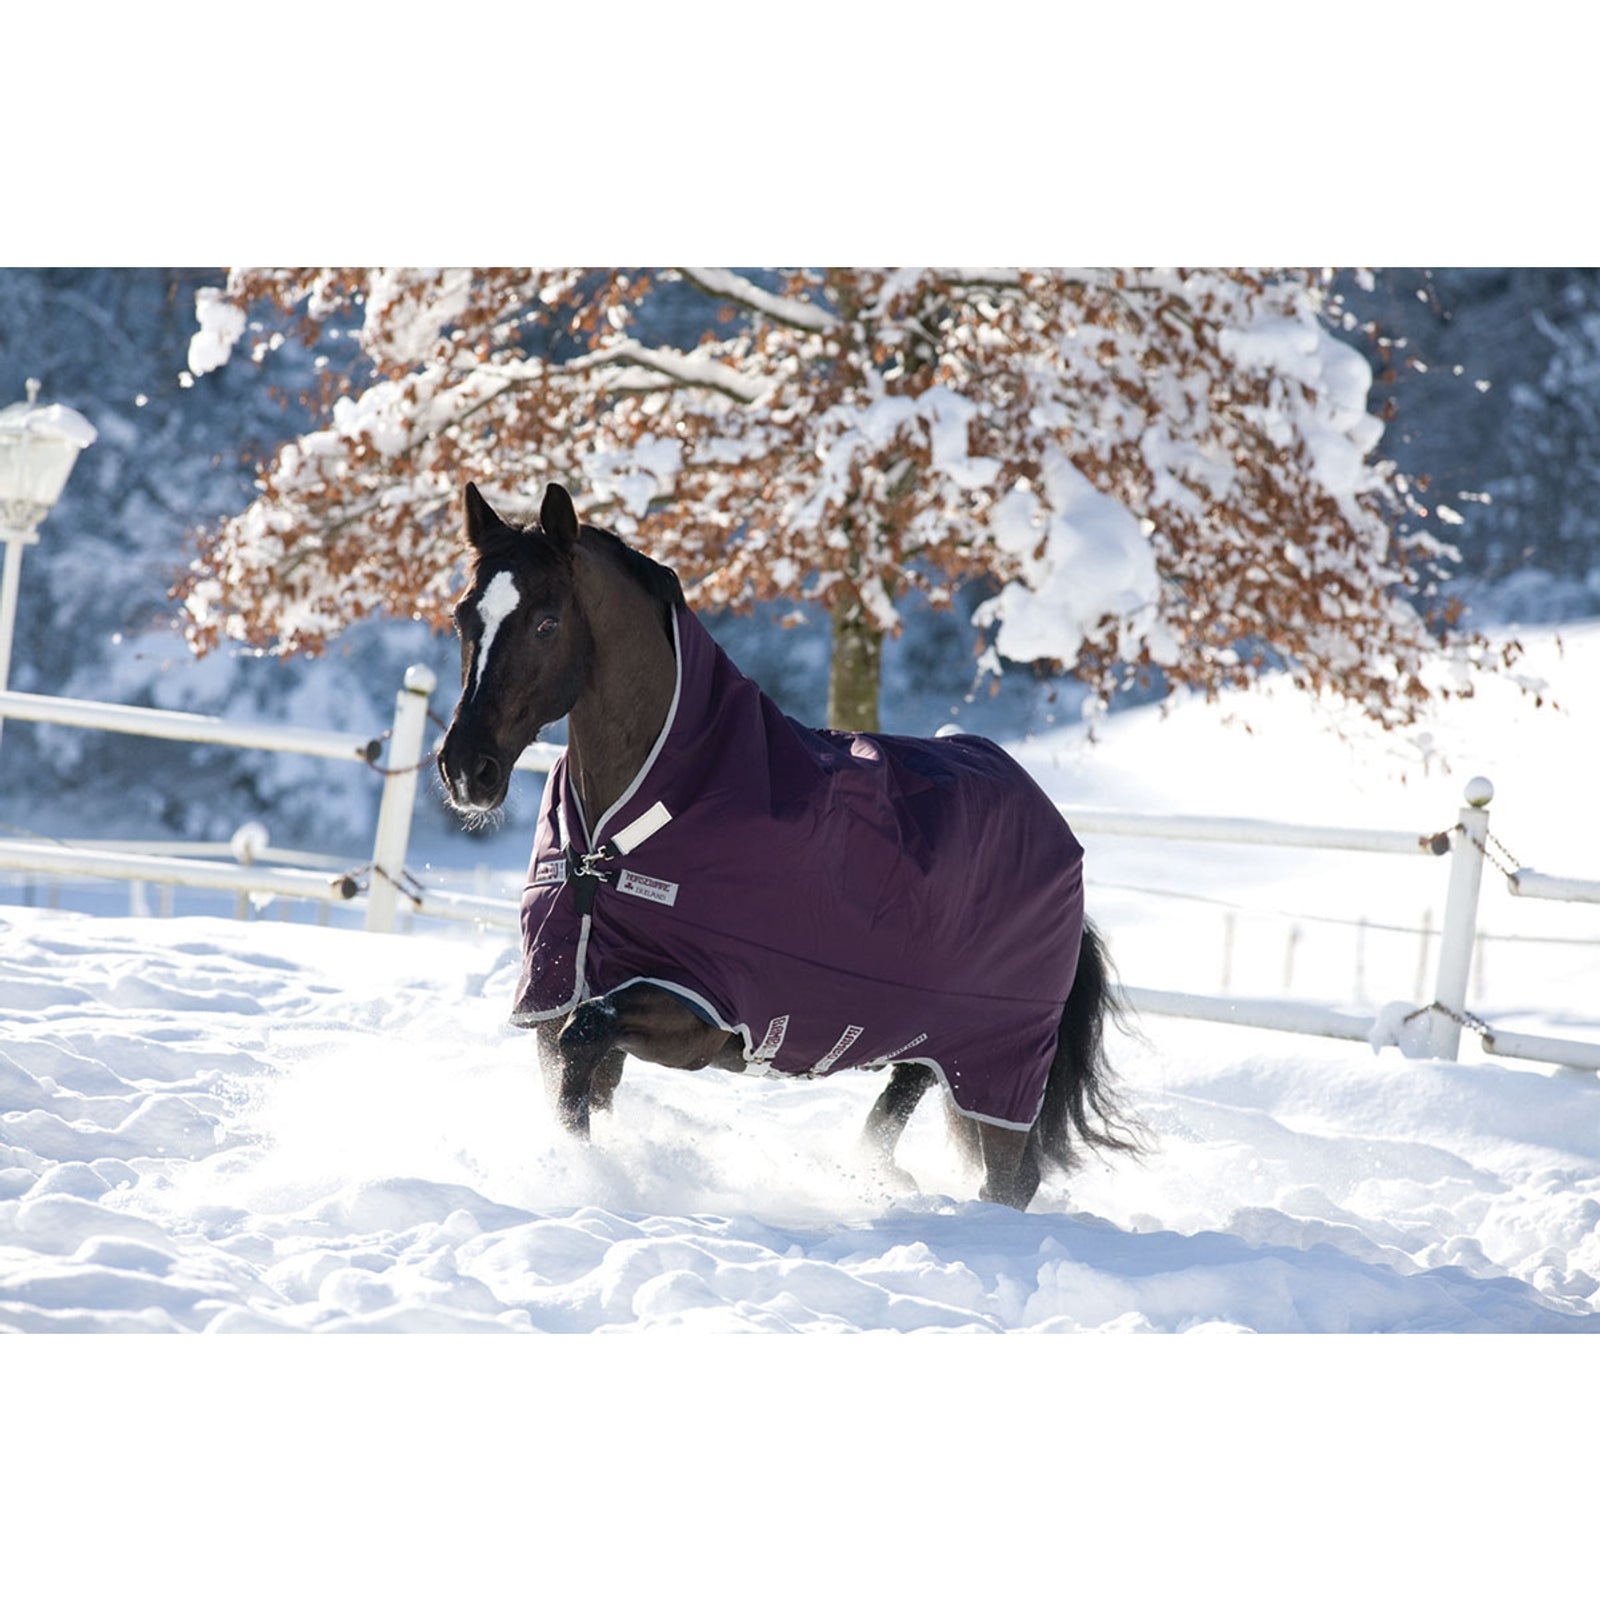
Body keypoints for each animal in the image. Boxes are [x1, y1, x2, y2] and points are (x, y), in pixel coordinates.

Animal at [437, 481, 1138, 1209]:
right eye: (462, 618)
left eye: (546, 623)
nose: (466, 769)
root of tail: (1063, 838)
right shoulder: (557, 996)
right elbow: (574, 1076)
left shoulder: (698, 1013)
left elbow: (583, 1048)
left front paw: (585, 1178)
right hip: (933, 1039)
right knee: (902, 1104)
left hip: (998, 1064)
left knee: (1009, 1179)